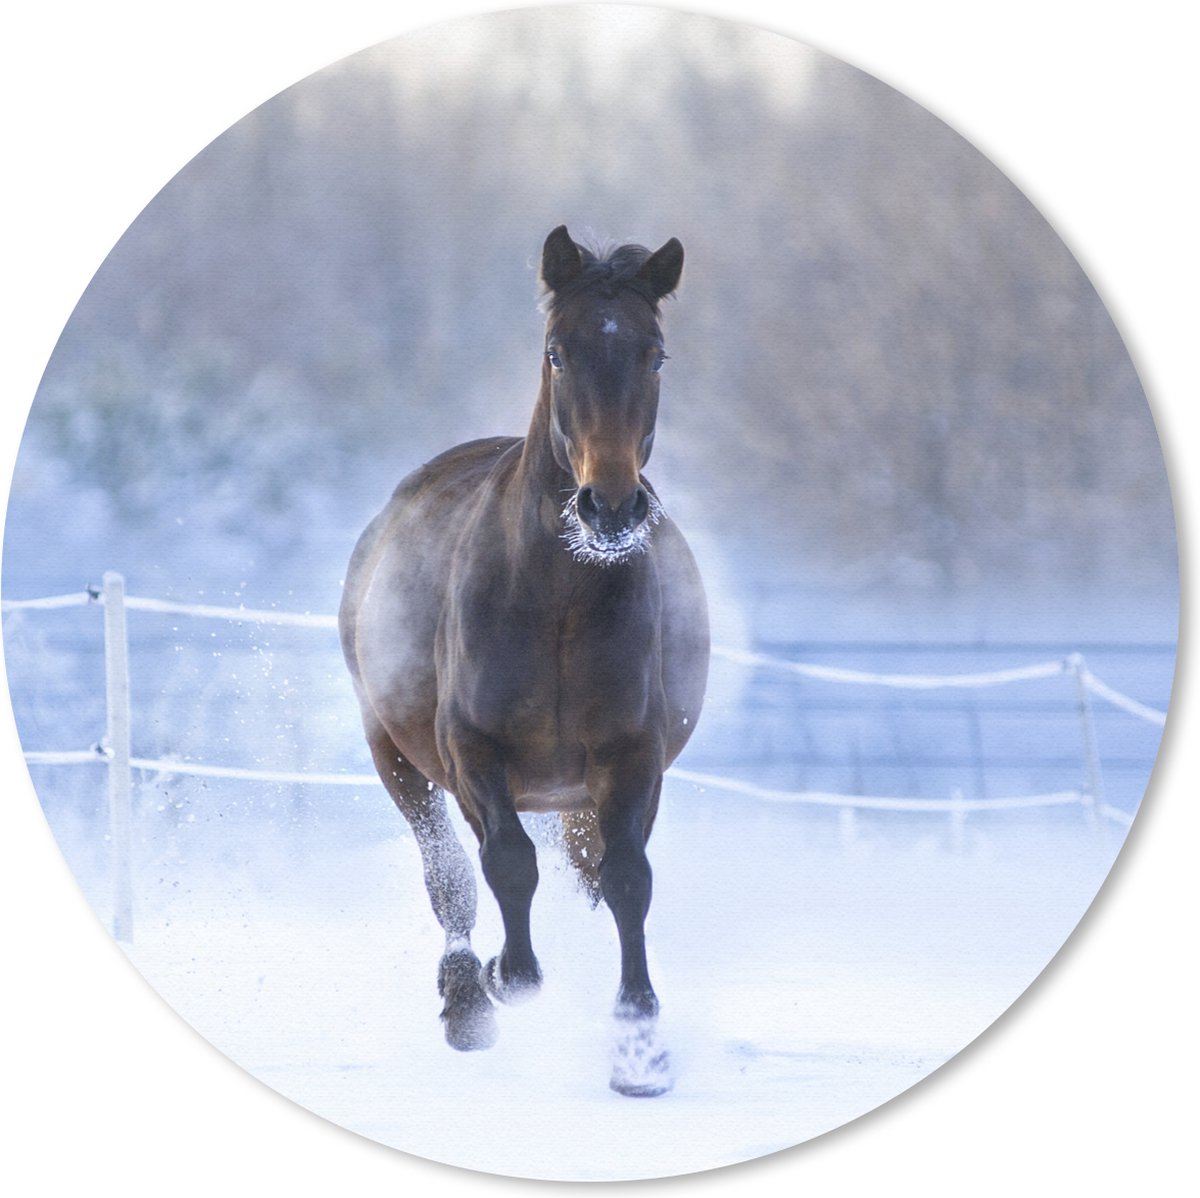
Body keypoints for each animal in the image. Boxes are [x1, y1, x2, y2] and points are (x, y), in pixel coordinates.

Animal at [339, 226, 709, 1097]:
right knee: (449, 871)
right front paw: (511, 978)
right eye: (557, 353)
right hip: (394, 754)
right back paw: (467, 999)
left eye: (656, 354)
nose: (611, 508)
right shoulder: (473, 751)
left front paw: (640, 1048)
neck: (557, 602)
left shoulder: (632, 756)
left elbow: (626, 880)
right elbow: (505, 863)